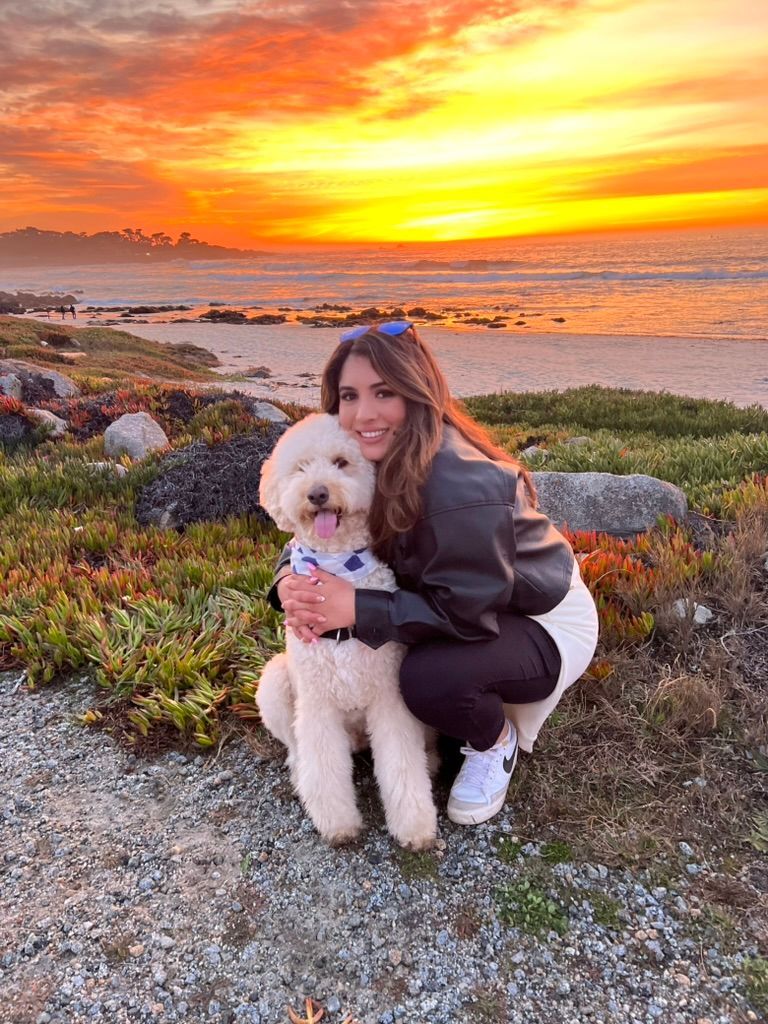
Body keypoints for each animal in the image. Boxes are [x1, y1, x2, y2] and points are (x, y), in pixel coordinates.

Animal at [259, 409, 438, 847]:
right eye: (301, 467)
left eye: (341, 462)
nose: (317, 493)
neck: (338, 570)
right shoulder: (318, 705)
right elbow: (324, 769)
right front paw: (338, 824)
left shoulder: (390, 699)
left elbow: (402, 767)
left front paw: (415, 827)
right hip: (275, 682)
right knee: (296, 747)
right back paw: (299, 773)